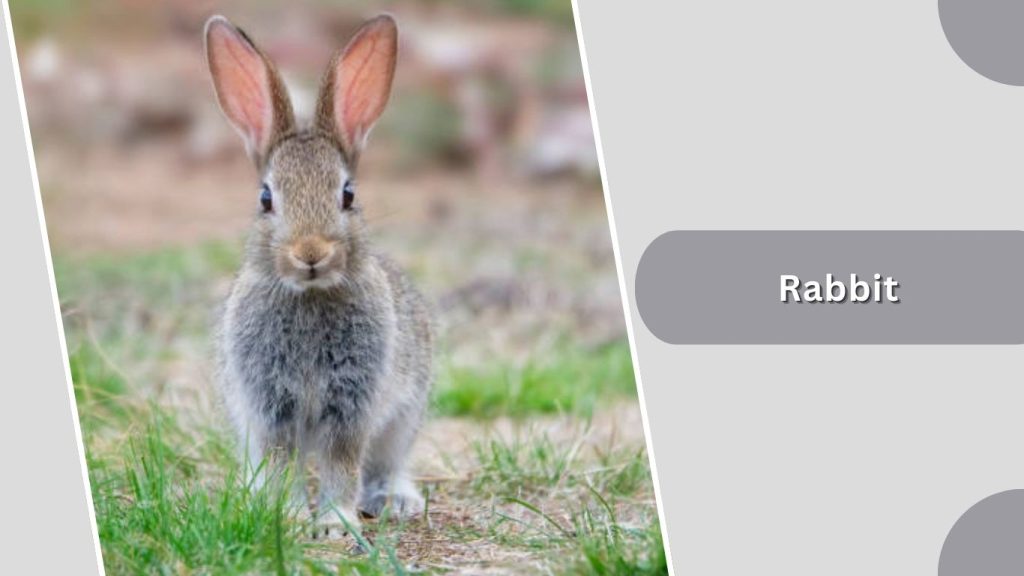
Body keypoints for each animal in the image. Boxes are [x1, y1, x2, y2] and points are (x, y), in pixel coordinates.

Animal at [205, 14, 433, 535]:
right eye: (266, 198)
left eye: (348, 195)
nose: (310, 252)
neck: (309, 295)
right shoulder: (270, 408)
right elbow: (281, 462)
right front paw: (286, 516)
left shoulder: (351, 404)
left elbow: (342, 462)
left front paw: (334, 523)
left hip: (405, 415)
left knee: (386, 462)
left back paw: (396, 499)